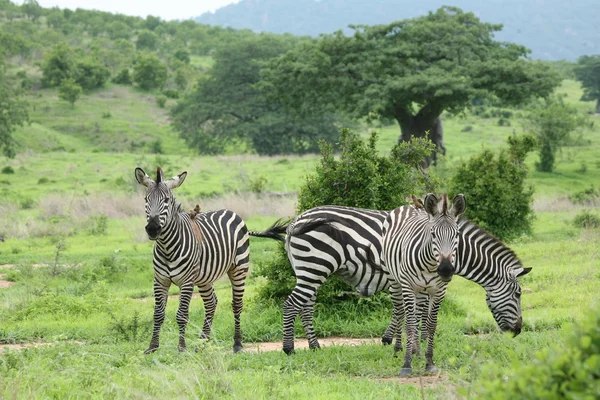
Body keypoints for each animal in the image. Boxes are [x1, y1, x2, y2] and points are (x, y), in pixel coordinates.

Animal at [135, 167, 250, 354]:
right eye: (146, 200)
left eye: (167, 200)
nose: (152, 229)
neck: (167, 247)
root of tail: (230, 211)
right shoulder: (160, 280)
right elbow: (158, 314)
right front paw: (152, 347)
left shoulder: (187, 281)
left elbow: (182, 315)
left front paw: (181, 347)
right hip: (204, 278)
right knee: (211, 303)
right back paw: (203, 343)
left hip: (239, 268)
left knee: (237, 304)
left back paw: (237, 344)